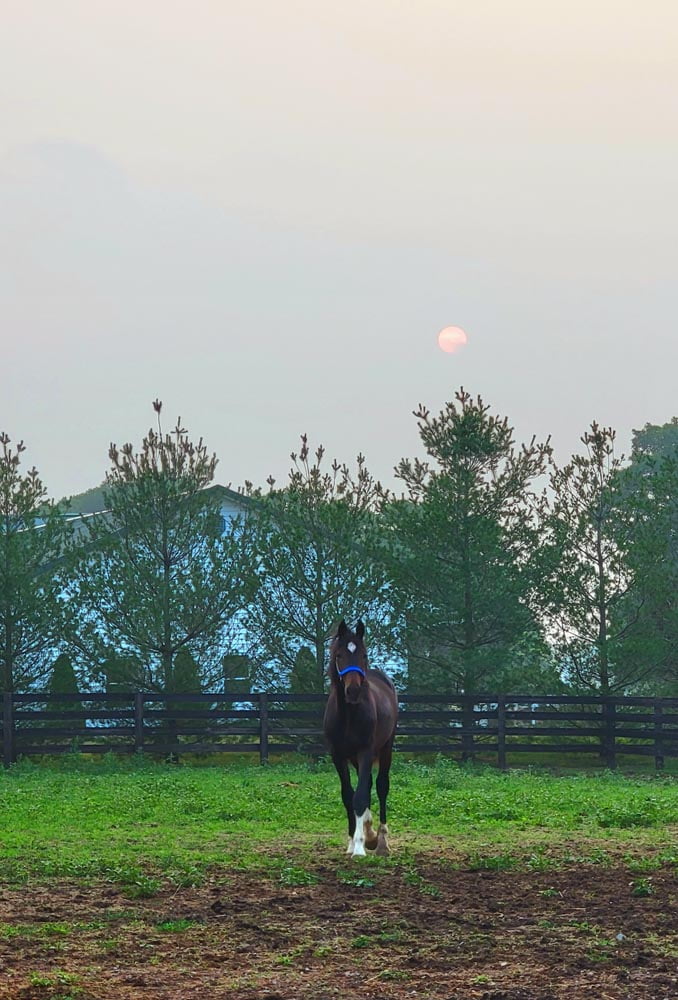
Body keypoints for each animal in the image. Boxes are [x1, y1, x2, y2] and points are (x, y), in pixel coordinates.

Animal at [324, 620, 398, 856]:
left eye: (363, 655)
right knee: (367, 785)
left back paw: (381, 841)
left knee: (381, 786)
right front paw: (352, 842)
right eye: (339, 655)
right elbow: (349, 795)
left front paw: (359, 846)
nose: (353, 691)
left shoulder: (366, 751)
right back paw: (369, 832)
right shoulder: (338, 756)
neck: (349, 715)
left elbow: (360, 797)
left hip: (385, 748)